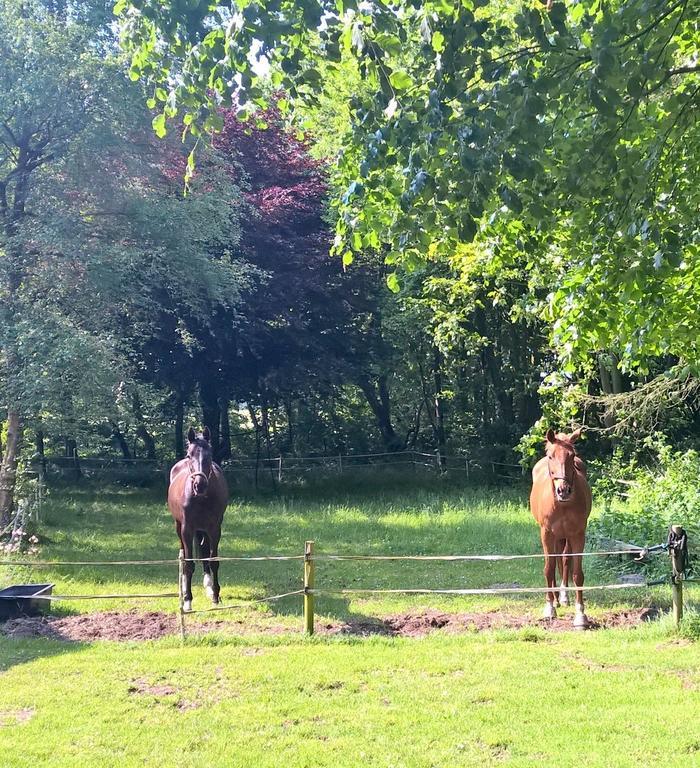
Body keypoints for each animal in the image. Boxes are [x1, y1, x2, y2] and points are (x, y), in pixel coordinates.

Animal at [166, 426, 227, 612]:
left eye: (210, 455)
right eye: (189, 455)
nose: (199, 485)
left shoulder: (214, 529)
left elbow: (213, 560)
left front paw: (215, 596)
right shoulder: (187, 529)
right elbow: (188, 563)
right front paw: (187, 600)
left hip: (204, 529)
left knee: (205, 551)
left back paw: (209, 586)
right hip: (179, 527)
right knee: (184, 554)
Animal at [532, 428, 592, 628]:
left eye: (571, 455)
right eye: (550, 456)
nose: (563, 490)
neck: (562, 505)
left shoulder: (578, 534)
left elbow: (577, 573)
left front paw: (580, 614)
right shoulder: (546, 534)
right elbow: (548, 569)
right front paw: (549, 607)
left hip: (565, 537)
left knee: (564, 559)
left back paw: (563, 596)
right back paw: (556, 599)